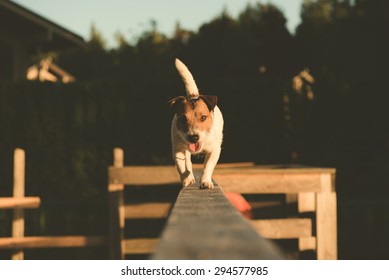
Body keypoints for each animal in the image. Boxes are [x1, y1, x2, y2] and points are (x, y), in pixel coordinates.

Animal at [168, 58, 223, 189]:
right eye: (182, 119)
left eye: (203, 117)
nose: (193, 137)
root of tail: (194, 95)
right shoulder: (177, 149)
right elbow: (182, 167)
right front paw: (187, 179)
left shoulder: (214, 150)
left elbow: (208, 166)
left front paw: (205, 181)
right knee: (188, 162)